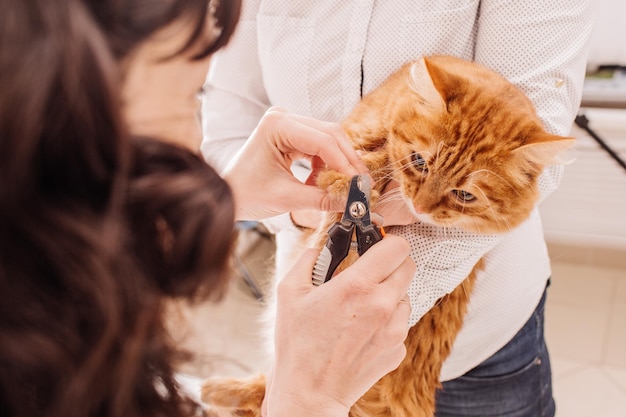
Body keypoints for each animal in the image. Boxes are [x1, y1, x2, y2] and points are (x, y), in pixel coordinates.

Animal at [199, 55, 572, 416]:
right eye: (420, 161)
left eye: (465, 195)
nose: (420, 206)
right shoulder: (356, 133)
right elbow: (365, 155)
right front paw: (347, 179)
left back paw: (216, 391)